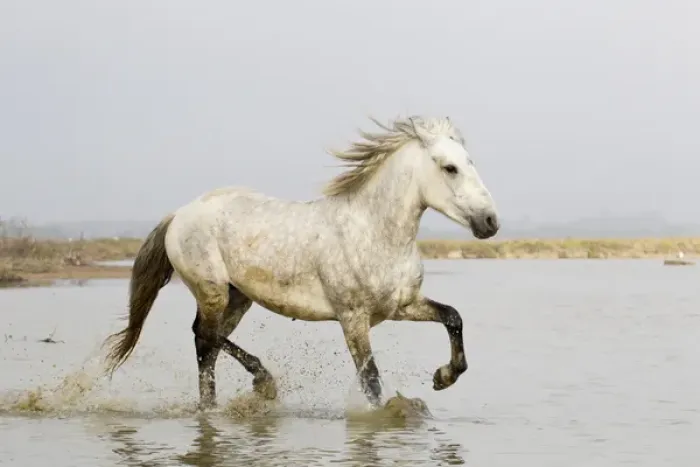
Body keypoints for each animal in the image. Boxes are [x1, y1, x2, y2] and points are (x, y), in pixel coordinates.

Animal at [103, 115, 500, 410]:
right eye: (449, 168)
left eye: (470, 162)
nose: (490, 222)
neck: (375, 232)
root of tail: (180, 213)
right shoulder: (353, 319)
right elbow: (371, 382)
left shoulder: (402, 306)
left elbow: (453, 317)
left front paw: (443, 378)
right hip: (212, 290)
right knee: (204, 337)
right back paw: (260, 384)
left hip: (238, 297)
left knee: (208, 345)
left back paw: (214, 407)